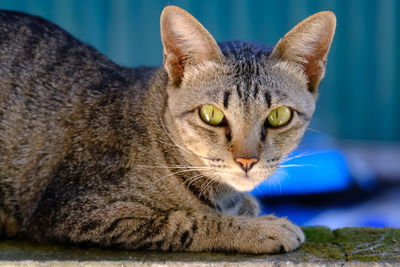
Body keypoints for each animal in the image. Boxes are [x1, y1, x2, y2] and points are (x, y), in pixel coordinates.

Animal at [0, 5, 336, 254]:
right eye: (211, 115)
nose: (246, 161)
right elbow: (189, 222)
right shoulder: (75, 211)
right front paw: (262, 228)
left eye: (279, 116)